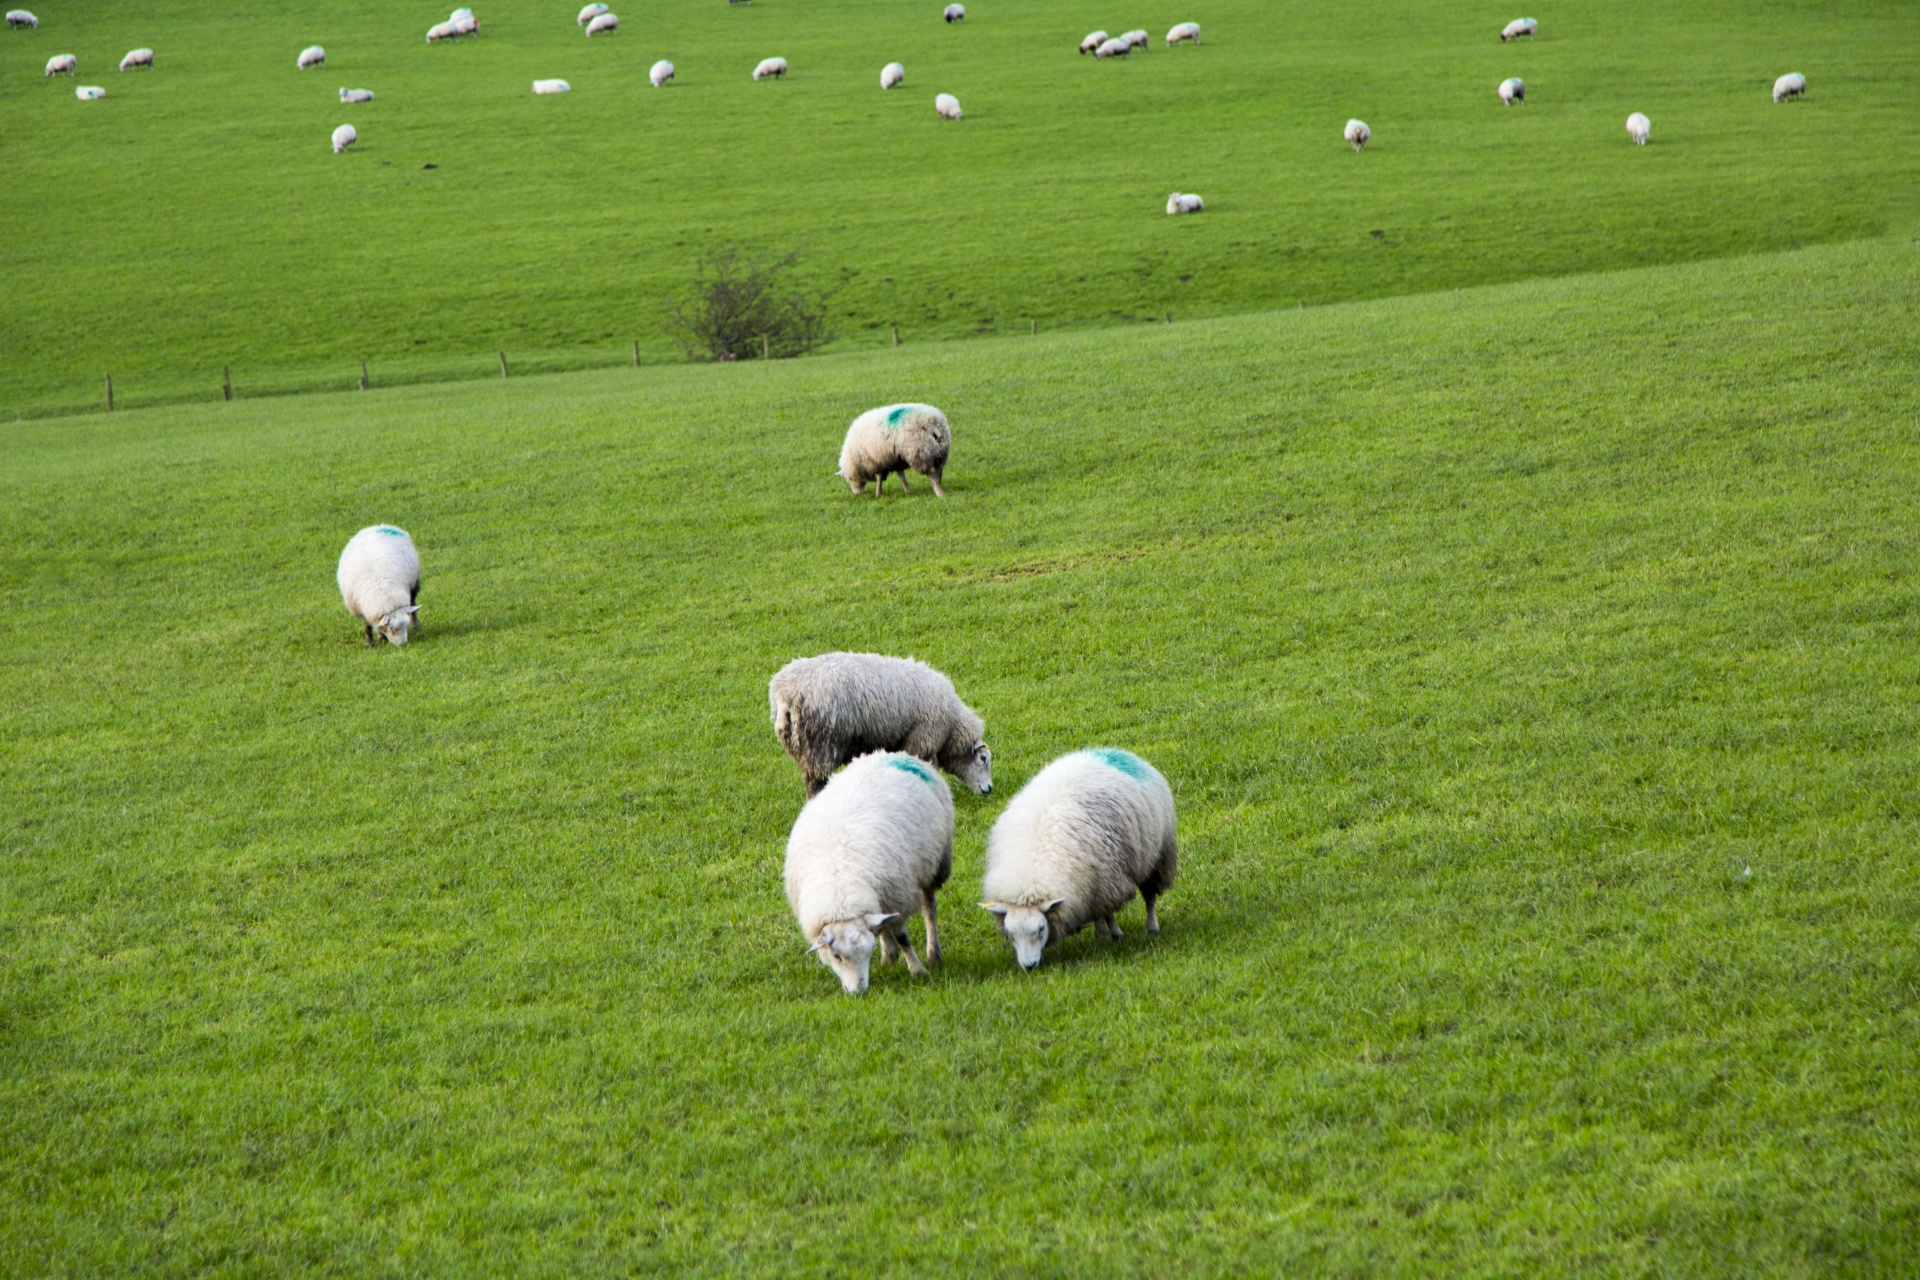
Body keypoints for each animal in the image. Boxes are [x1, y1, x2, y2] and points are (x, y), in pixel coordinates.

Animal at [771, 652, 998, 802]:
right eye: (983, 759)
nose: (989, 789)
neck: (952, 726)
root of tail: (785, 695)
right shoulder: (923, 739)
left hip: (803, 745)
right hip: (820, 741)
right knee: (815, 781)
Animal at [783, 752, 956, 997]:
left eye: (866, 952)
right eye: (836, 956)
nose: (858, 992)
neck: (840, 893)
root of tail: (893, 755)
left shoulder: (898, 897)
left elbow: (903, 938)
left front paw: (917, 970)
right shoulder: (884, 896)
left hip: (935, 862)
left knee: (928, 907)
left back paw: (933, 953)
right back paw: (889, 955)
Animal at [983, 744, 1175, 967]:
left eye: (1040, 929)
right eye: (1011, 935)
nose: (1029, 967)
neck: (1032, 871)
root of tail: (1111, 751)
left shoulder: (1108, 880)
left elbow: (1109, 913)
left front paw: (1117, 935)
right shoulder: (1095, 883)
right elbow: (1104, 912)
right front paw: (1107, 933)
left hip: (1158, 856)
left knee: (1150, 896)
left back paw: (1152, 927)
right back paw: (1099, 933)